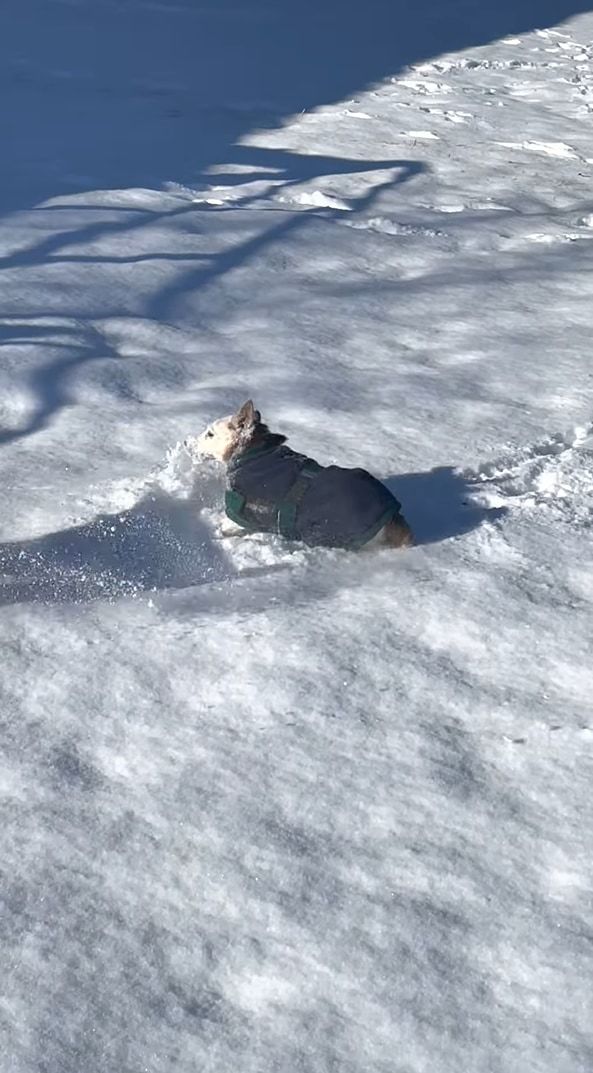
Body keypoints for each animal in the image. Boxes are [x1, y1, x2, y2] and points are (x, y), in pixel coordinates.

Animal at [194, 403, 411, 553]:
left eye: (210, 434)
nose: (190, 443)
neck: (253, 453)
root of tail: (395, 521)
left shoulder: (237, 510)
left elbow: (227, 524)